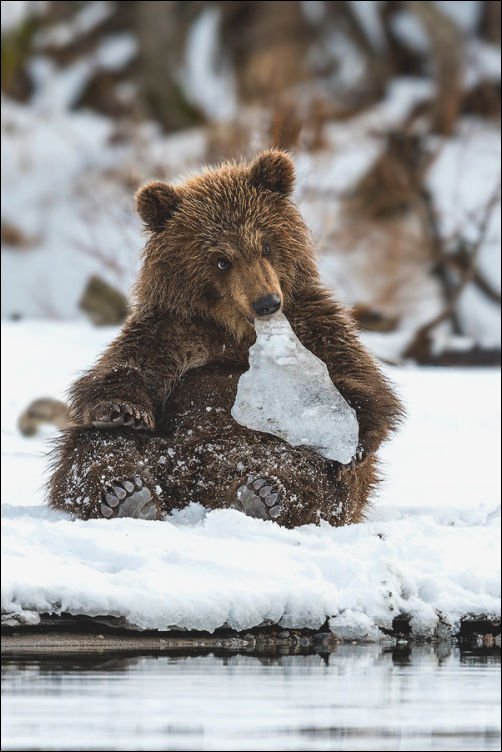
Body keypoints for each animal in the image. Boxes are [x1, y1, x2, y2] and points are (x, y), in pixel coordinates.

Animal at [46, 150, 404, 524]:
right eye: (221, 260)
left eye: (266, 244)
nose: (267, 302)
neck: (237, 328)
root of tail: (202, 489)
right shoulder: (171, 328)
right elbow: (126, 368)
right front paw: (122, 410)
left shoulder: (313, 322)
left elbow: (358, 377)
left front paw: (353, 434)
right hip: (162, 446)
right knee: (95, 450)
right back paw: (125, 494)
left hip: (272, 450)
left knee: (310, 470)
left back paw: (266, 495)